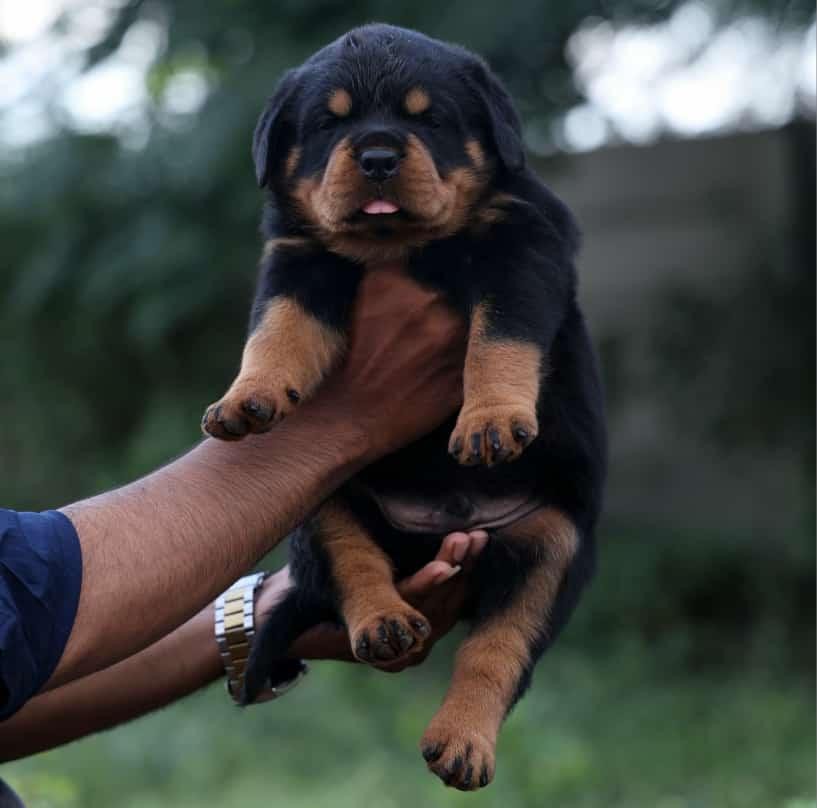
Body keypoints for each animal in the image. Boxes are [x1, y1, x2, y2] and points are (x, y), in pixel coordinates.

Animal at [201, 23, 604, 788]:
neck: (404, 248)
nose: (379, 156)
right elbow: (276, 331)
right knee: (355, 562)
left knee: (497, 649)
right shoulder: (299, 261)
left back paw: (462, 742)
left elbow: (500, 335)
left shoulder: (520, 246)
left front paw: (489, 421)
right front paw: (246, 398)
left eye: (431, 119)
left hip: (549, 542)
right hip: (323, 497)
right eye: (328, 124)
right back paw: (384, 624)